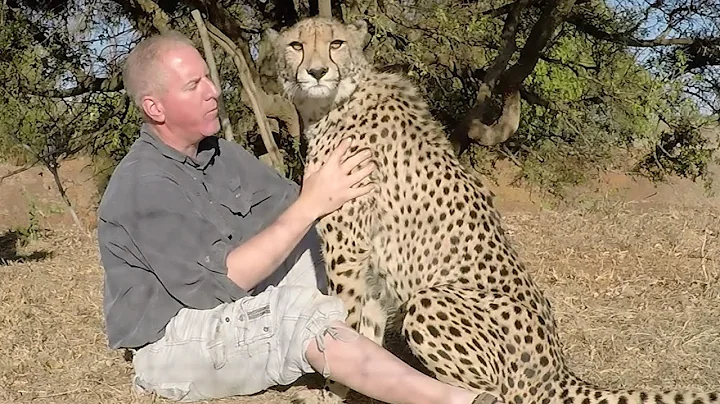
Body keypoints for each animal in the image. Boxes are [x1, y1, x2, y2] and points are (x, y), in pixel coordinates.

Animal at [265, 16, 720, 404]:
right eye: (296, 45)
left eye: (336, 44)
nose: (317, 72)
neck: (335, 101)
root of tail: (558, 369)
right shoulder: (371, 265)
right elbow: (367, 334)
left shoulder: (347, 250)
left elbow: (344, 326)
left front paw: (331, 392)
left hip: (432, 300)